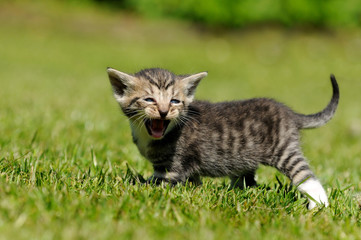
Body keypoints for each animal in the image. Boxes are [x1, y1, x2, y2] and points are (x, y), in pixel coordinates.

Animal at [106, 67, 338, 208]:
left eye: (174, 101)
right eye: (149, 99)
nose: (163, 112)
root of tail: (289, 113)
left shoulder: (171, 169)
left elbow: (152, 185)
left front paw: (133, 190)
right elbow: (194, 182)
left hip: (284, 149)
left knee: (304, 175)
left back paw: (319, 204)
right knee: (247, 180)